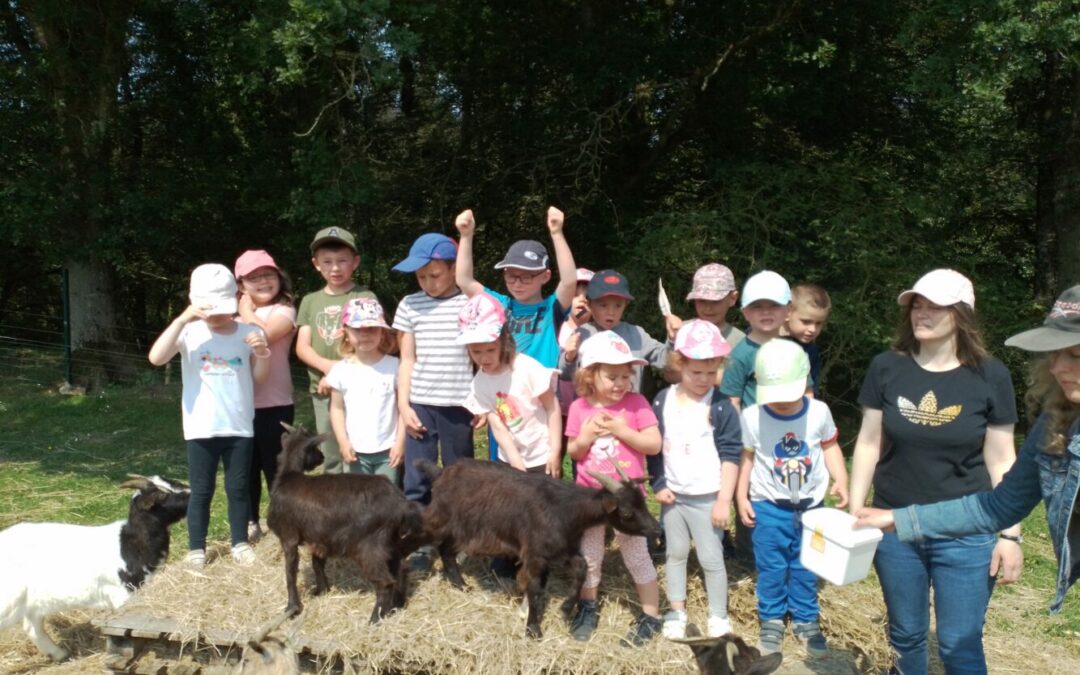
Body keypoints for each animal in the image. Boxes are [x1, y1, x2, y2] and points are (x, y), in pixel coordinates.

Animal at [0, 473, 190, 656]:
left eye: (173, 482)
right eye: (161, 495)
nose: (190, 493)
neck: (129, 544)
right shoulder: (123, 594)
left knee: (32, 625)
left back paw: (58, 654)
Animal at [265, 423, 425, 622]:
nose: (322, 457)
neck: (288, 476)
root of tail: (400, 502)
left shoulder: (289, 537)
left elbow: (290, 572)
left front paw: (292, 607)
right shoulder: (318, 538)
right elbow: (317, 564)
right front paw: (322, 590)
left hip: (368, 546)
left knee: (385, 581)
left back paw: (374, 619)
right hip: (390, 540)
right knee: (400, 568)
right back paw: (396, 605)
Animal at [414, 457, 660, 635]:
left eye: (642, 502)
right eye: (626, 512)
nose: (656, 529)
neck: (564, 509)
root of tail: (441, 473)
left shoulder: (559, 550)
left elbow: (581, 568)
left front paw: (565, 609)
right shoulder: (534, 554)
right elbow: (534, 588)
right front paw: (533, 629)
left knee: (446, 550)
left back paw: (460, 585)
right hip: (448, 522)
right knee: (438, 544)